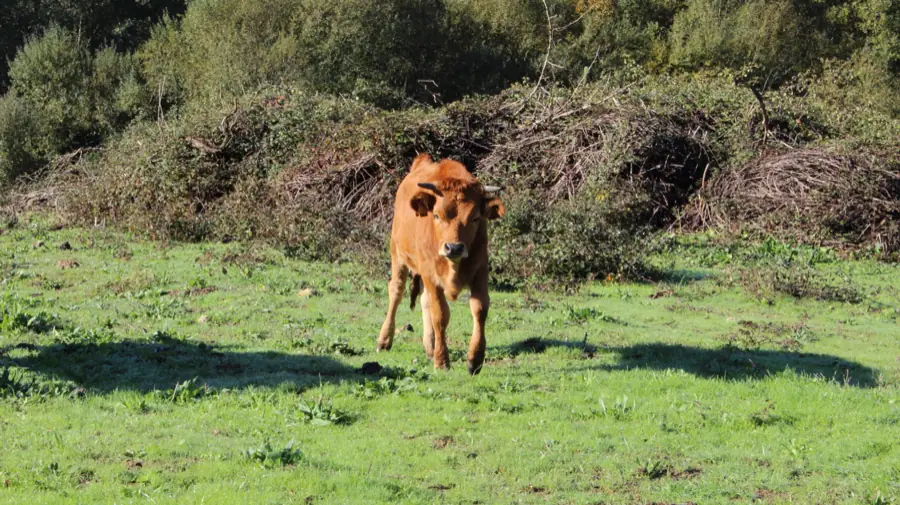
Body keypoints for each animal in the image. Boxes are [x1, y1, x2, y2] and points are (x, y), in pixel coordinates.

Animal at [376, 153, 505, 375]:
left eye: (475, 218)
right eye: (436, 215)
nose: (454, 248)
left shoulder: (480, 271)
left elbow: (479, 309)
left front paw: (475, 359)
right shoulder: (430, 274)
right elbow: (440, 314)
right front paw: (442, 360)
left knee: (424, 300)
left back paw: (430, 346)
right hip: (398, 255)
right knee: (396, 292)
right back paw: (385, 340)